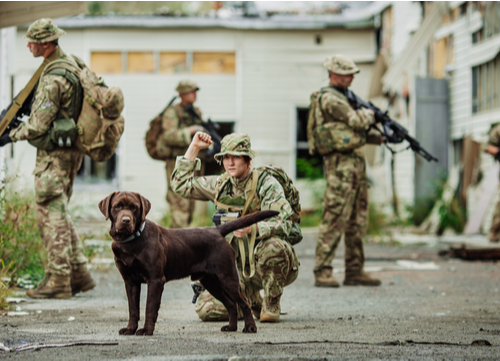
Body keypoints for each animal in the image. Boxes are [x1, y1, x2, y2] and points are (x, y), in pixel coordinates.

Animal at [97, 191, 278, 334]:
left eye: (134, 207)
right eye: (117, 207)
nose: (126, 220)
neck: (130, 242)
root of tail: (217, 231)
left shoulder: (155, 279)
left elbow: (149, 307)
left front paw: (146, 330)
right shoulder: (130, 282)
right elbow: (133, 309)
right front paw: (130, 329)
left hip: (227, 277)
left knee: (243, 302)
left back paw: (250, 327)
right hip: (211, 281)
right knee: (231, 304)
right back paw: (231, 327)